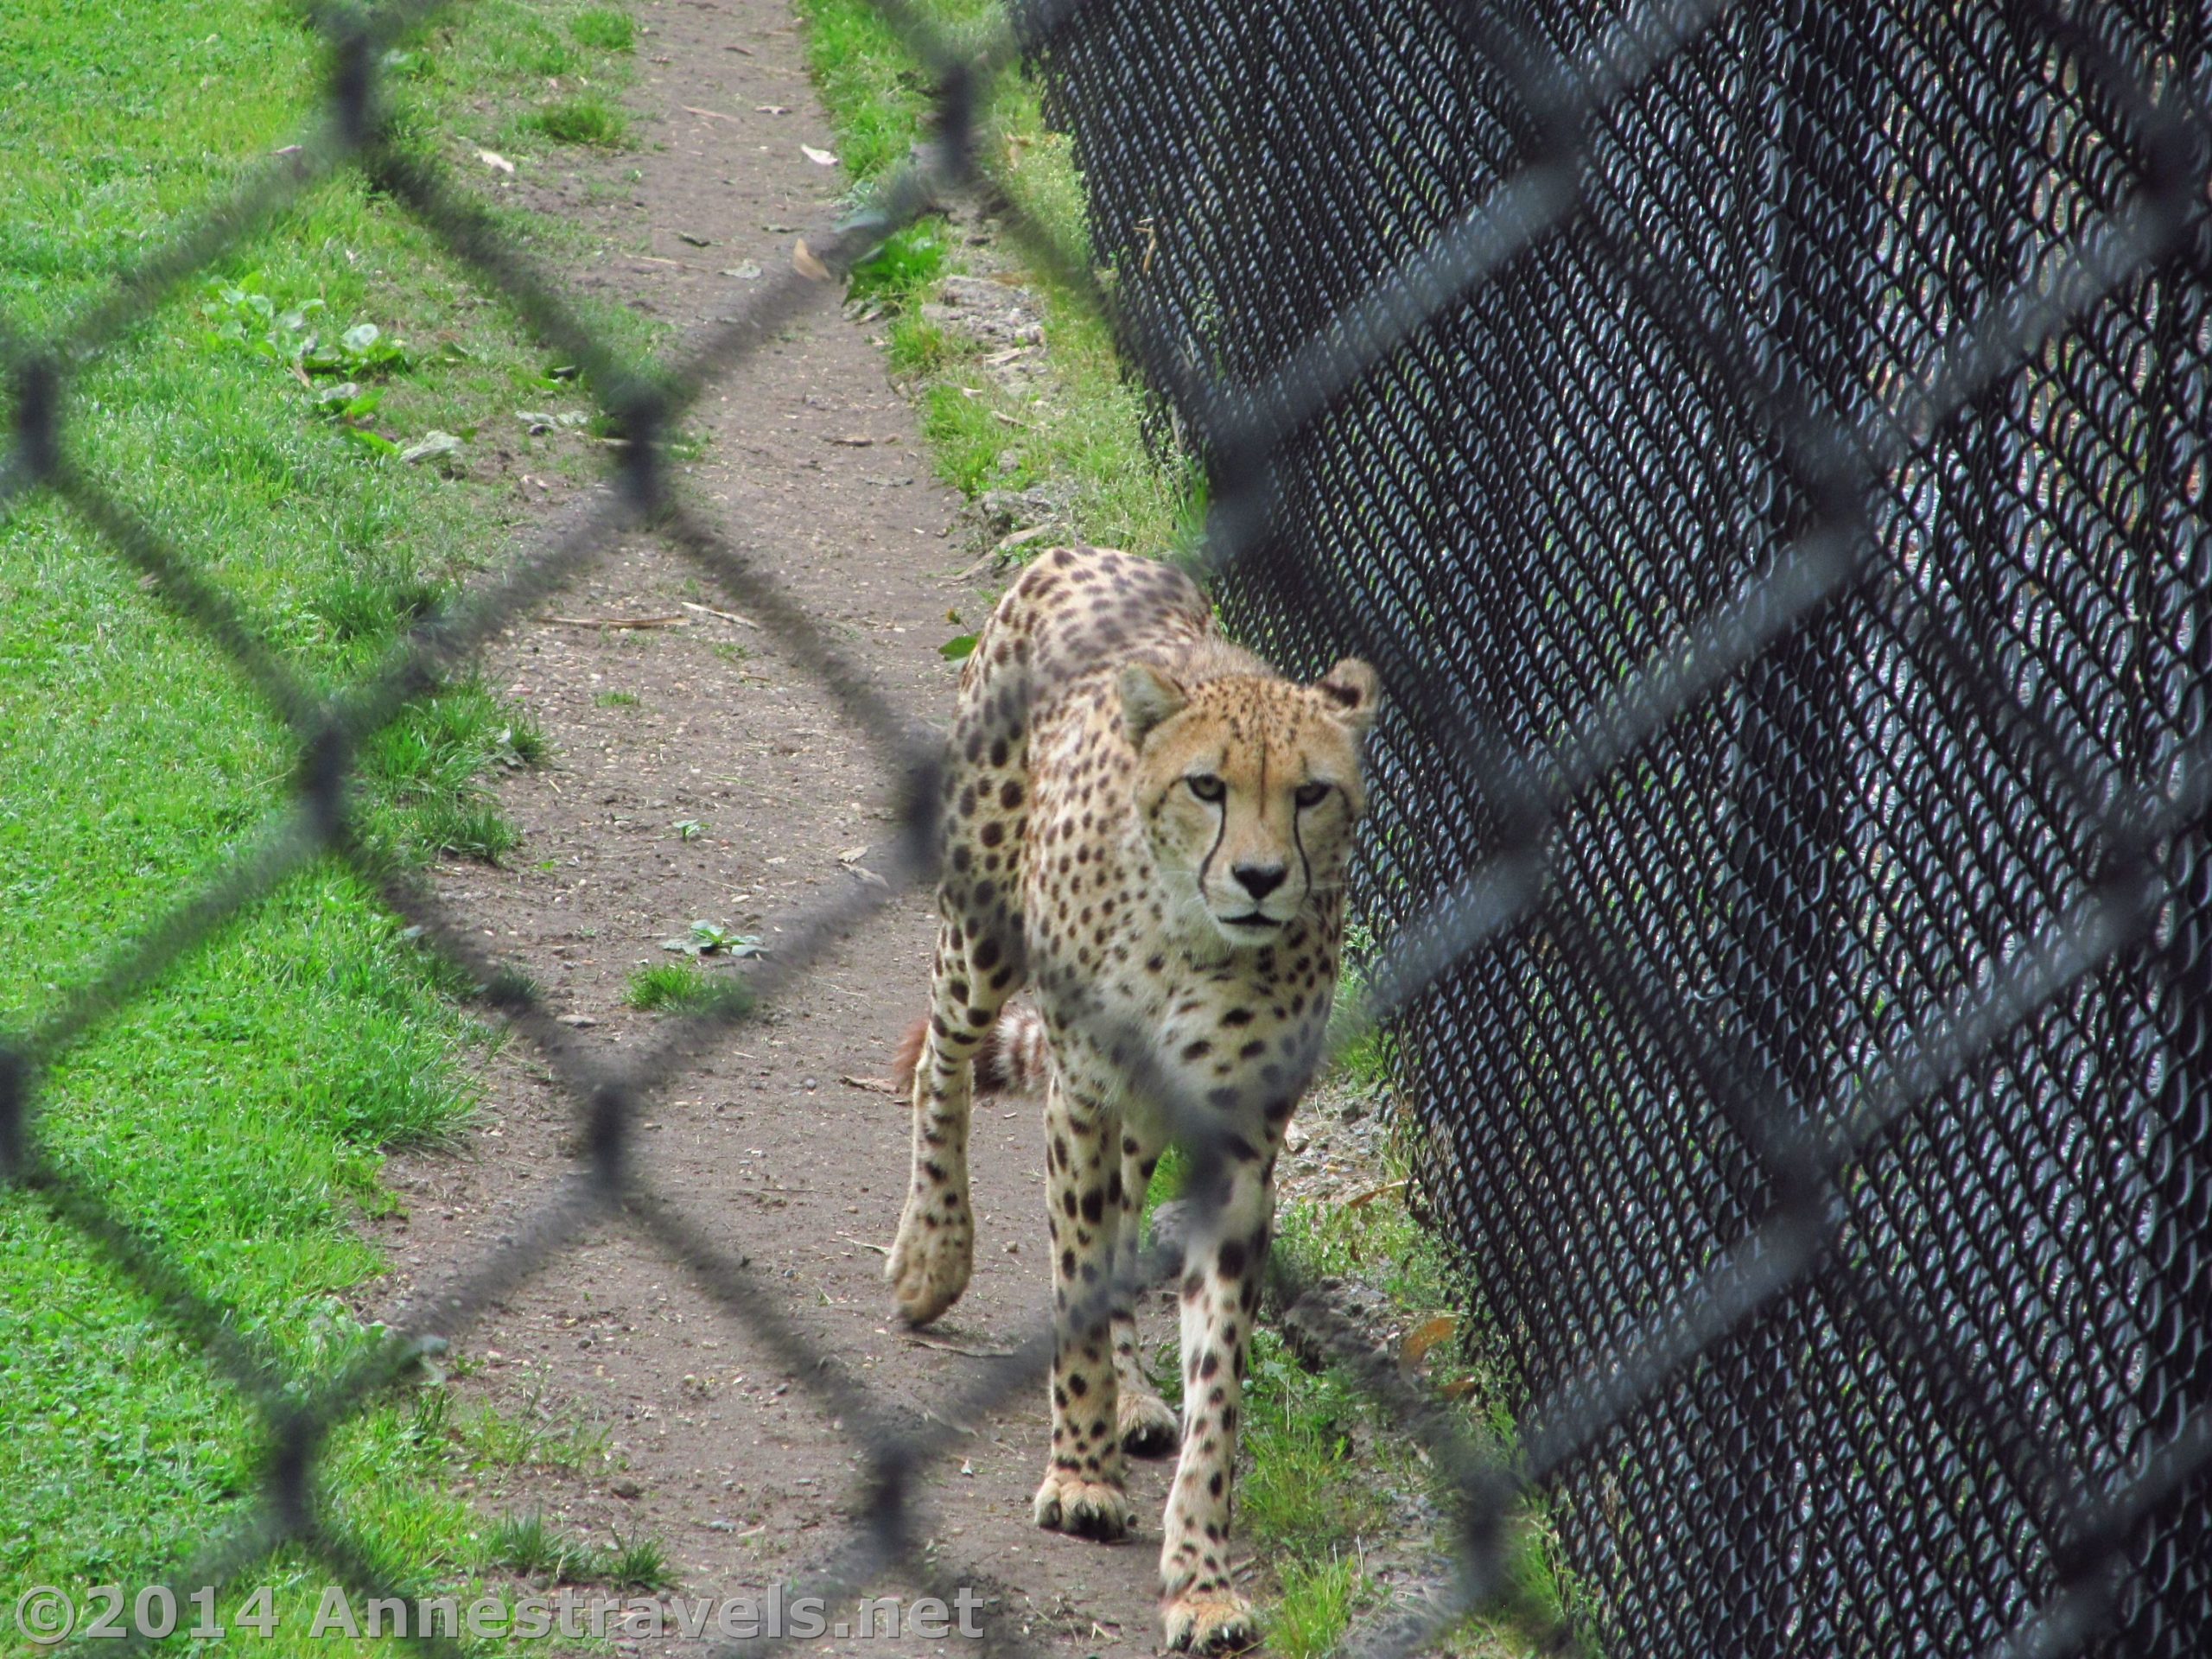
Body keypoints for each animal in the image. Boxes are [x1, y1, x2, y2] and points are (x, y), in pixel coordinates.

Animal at [875, 542, 1362, 1654]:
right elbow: (1076, 1286)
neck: (1195, 940)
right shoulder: (1084, 1100)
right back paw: (933, 1255)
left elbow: (1218, 1376)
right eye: (1206, 785)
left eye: (1312, 792)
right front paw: (1081, 1475)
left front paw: (1200, 1578)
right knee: (942, 1061)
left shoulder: (1237, 1144)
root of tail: (1090, 551)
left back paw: (1139, 1394)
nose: (1261, 877)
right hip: (983, 926)